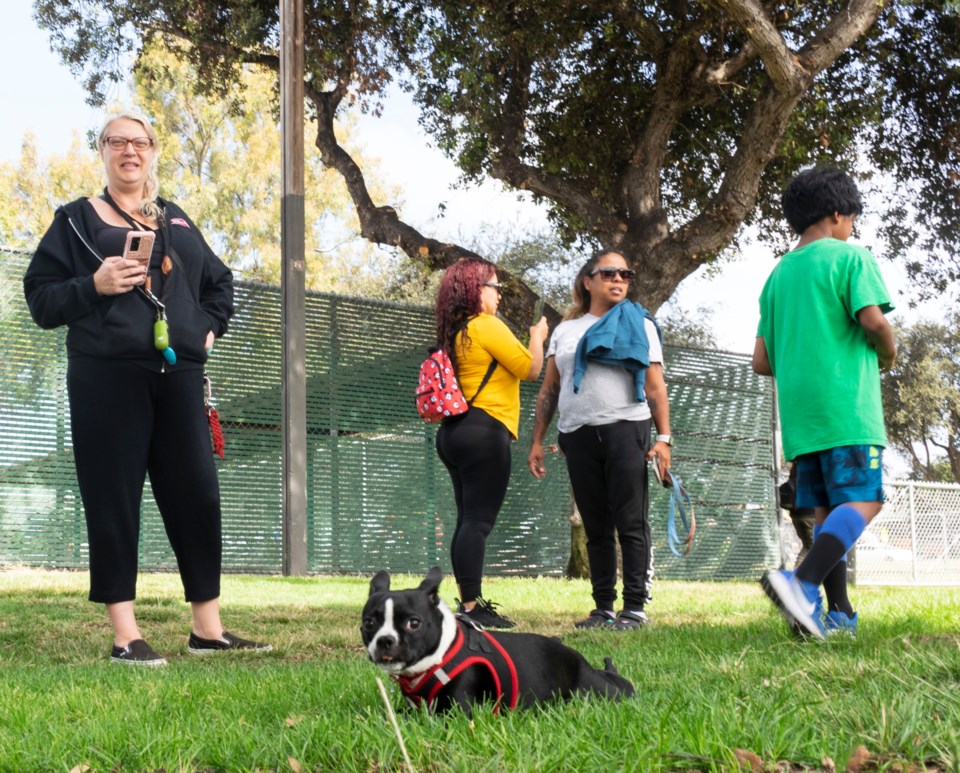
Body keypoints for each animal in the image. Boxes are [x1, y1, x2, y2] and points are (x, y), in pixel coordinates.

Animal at [356, 564, 632, 716]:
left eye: (413, 623)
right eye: (369, 623)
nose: (385, 640)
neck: (440, 656)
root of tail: (576, 657)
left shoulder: (456, 712)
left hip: (598, 691)